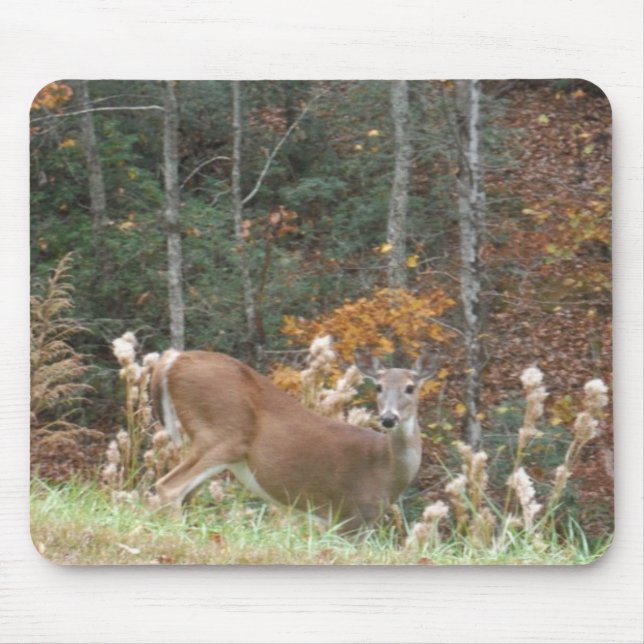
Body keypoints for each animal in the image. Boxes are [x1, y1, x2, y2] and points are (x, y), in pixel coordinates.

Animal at [149, 347, 439, 532]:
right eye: (378, 387)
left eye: (410, 388)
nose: (388, 418)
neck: (383, 467)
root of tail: (173, 359)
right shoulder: (349, 514)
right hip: (223, 434)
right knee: (169, 487)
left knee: (185, 493)